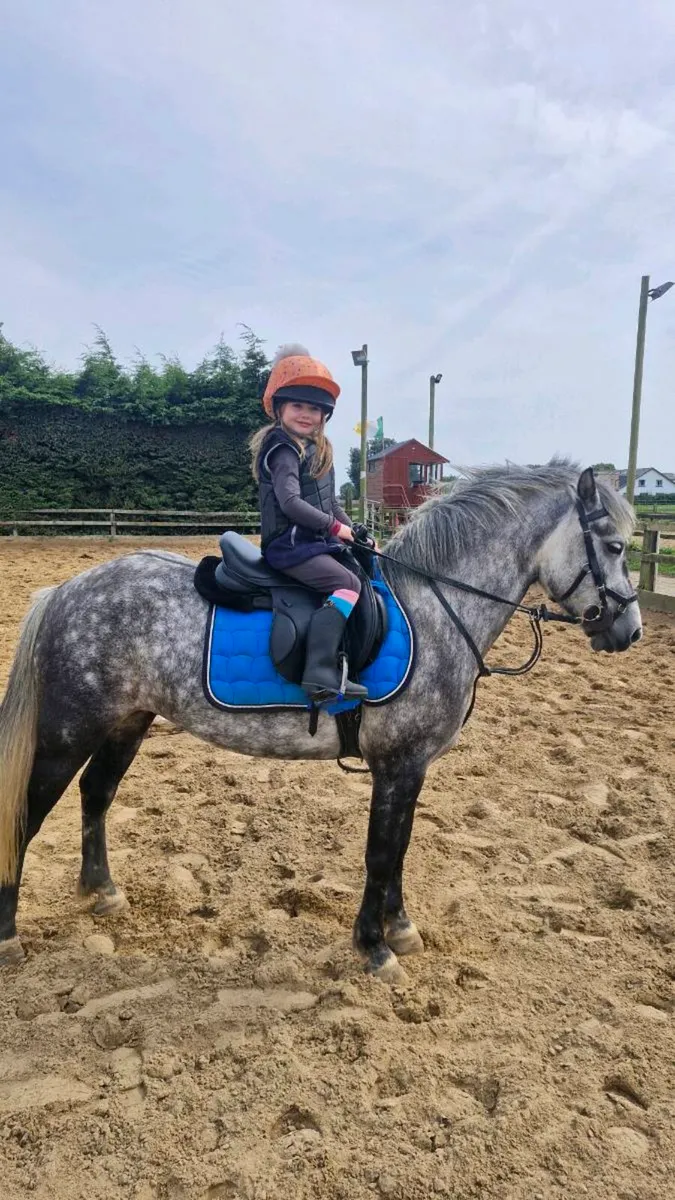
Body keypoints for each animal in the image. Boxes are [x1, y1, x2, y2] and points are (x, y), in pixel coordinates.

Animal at [0, 463, 641, 980]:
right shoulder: (397, 764)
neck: (435, 607)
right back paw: (8, 935)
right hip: (69, 730)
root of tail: (66, 591)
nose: (629, 631)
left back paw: (102, 891)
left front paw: (400, 929)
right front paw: (374, 948)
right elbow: (381, 852)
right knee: (29, 812)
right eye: (612, 545)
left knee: (96, 793)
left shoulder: (410, 768)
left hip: (126, 721)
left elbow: (400, 846)